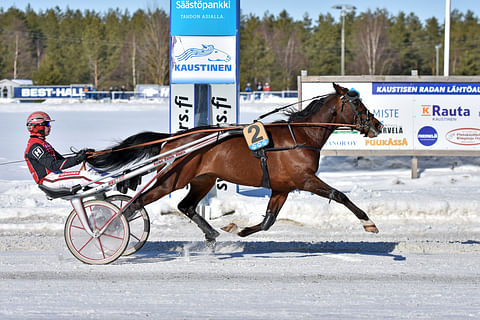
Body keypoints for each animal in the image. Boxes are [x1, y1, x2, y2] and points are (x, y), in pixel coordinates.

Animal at [88, 83, 384, 248]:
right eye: (357, 103)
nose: (378, 125)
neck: (300, 136)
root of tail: (173, 139)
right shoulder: (305, 179)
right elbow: (339, 195)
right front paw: (368, 222)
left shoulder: (282, 187)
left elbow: (268, 221)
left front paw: (239, 229)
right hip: (171, 179)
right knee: (134, 204)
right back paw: (106, 232)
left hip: (203, 179)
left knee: (186, 206)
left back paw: (211, 234)